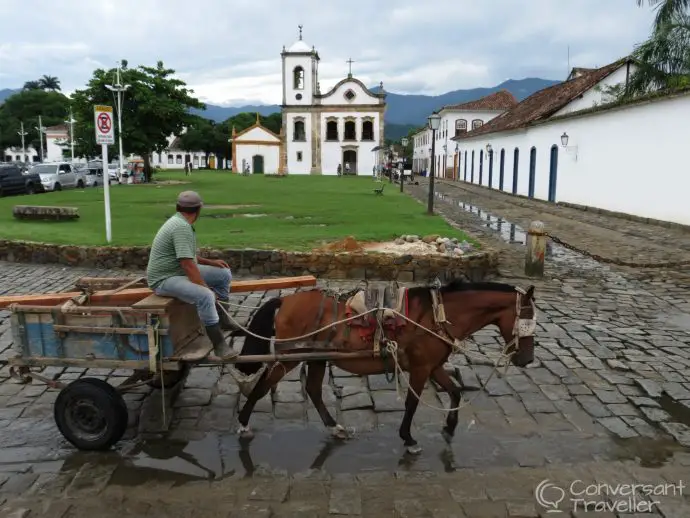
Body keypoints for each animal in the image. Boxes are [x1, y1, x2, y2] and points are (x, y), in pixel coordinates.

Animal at [228, 280, 536, 456]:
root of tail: (286, 299)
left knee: (314, 390)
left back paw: (335, 427)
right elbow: (412, 403)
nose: (527, 359)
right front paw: (409, 439)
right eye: (527, 317)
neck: (438, 315)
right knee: (263, 385)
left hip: (316, 357)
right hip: (291, 356)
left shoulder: (432, 365)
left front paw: (449, 427)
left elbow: (455, 391)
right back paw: (242, 423)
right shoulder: (421, 368)